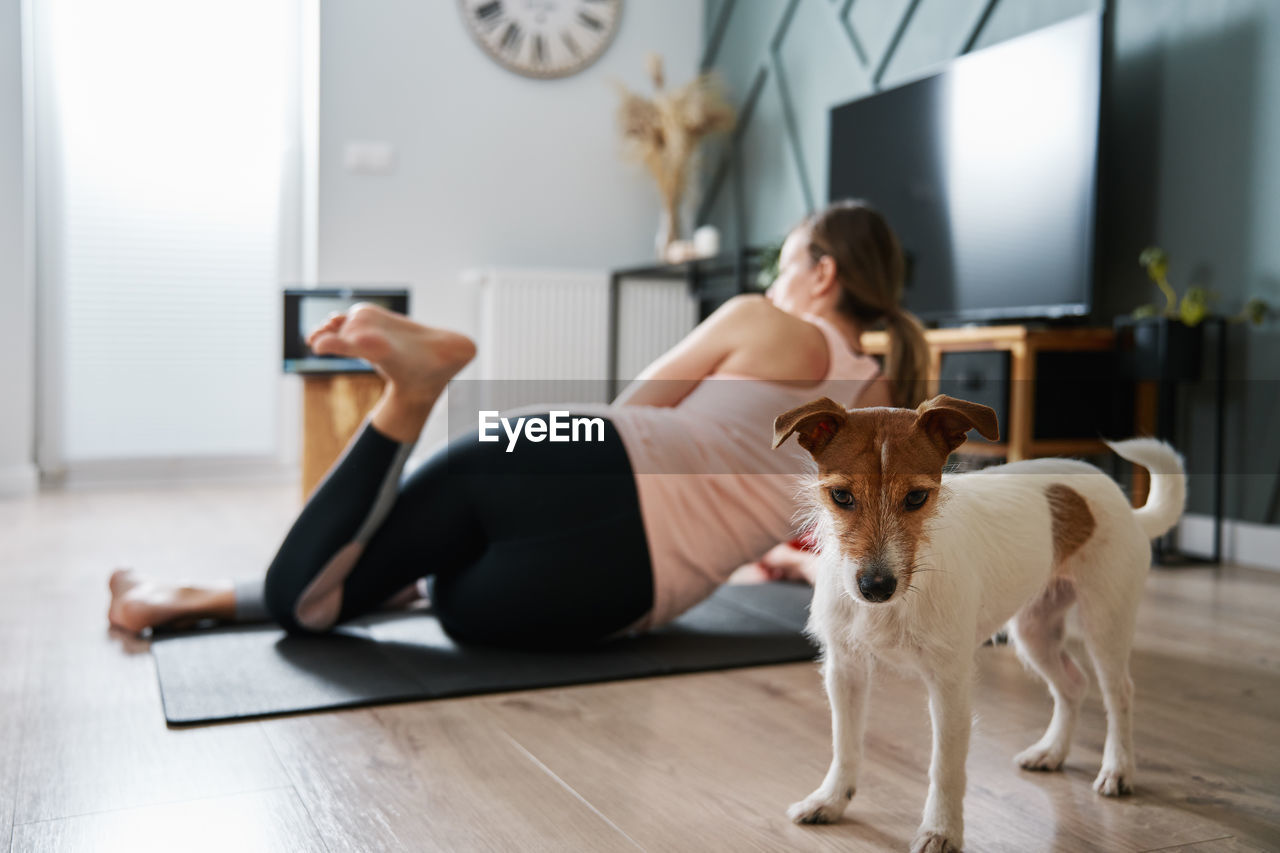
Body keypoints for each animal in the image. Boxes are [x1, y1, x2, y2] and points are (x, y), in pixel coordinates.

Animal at [762, 394, 1182, 850]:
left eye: (916, 498)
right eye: (841, 495)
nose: (876, 587)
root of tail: (1125, 505)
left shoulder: (950, 685)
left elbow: (945, 766)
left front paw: (941, 830)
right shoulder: (845, 670)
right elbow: (845, 744)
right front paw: (832, 800)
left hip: (1105, 622)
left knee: (1119, 692)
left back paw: (1118, 768)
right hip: (1034, 631)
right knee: (1072, 685)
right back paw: (1051, 752)